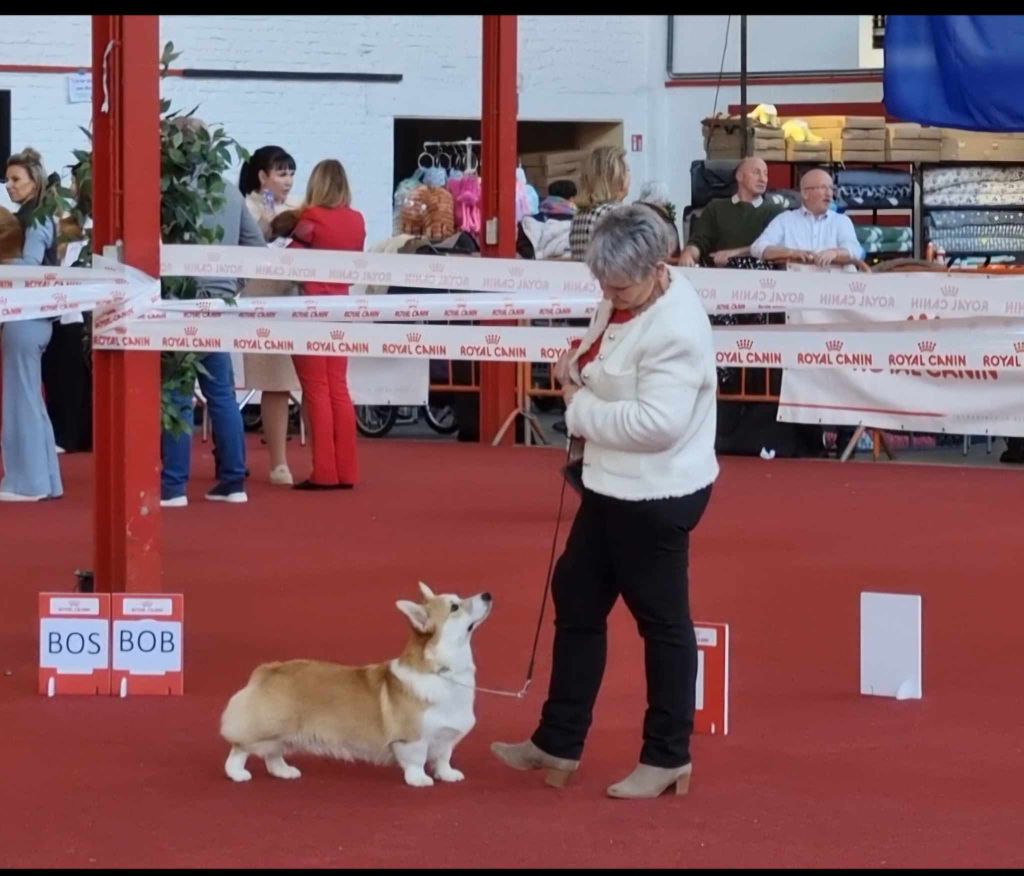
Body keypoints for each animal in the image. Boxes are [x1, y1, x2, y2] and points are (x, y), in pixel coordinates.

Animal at [219, 586, 491, 782]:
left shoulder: (446, 737)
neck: (444, 671)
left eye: (458, 599)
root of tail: (266, 670)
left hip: (283, 733)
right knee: (240, 748)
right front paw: (420, 780)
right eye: (455, 607)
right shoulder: (411, 739)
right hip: (265, 727)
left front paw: (448, 775)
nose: (487, 594)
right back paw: (237, 774)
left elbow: (444, 757)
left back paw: (284, 771)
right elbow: (416, 761)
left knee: (273, 753)